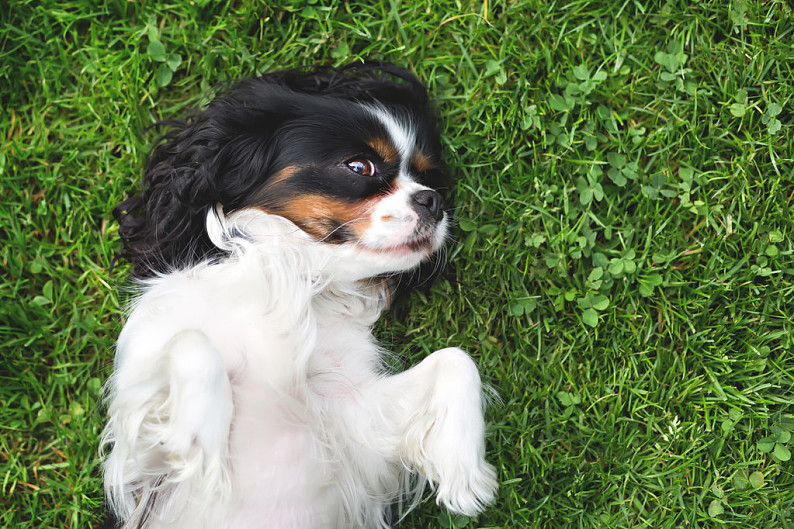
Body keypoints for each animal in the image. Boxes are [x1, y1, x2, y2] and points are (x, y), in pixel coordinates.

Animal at [99, 63, 496, 528]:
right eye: (360, 166)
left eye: (427, 178)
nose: (432, 200)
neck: (298, 276)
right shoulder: (142, 465)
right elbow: (191, 341)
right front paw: (197, 435)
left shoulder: (353, 419)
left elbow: (456, 359)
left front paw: (464, 471)